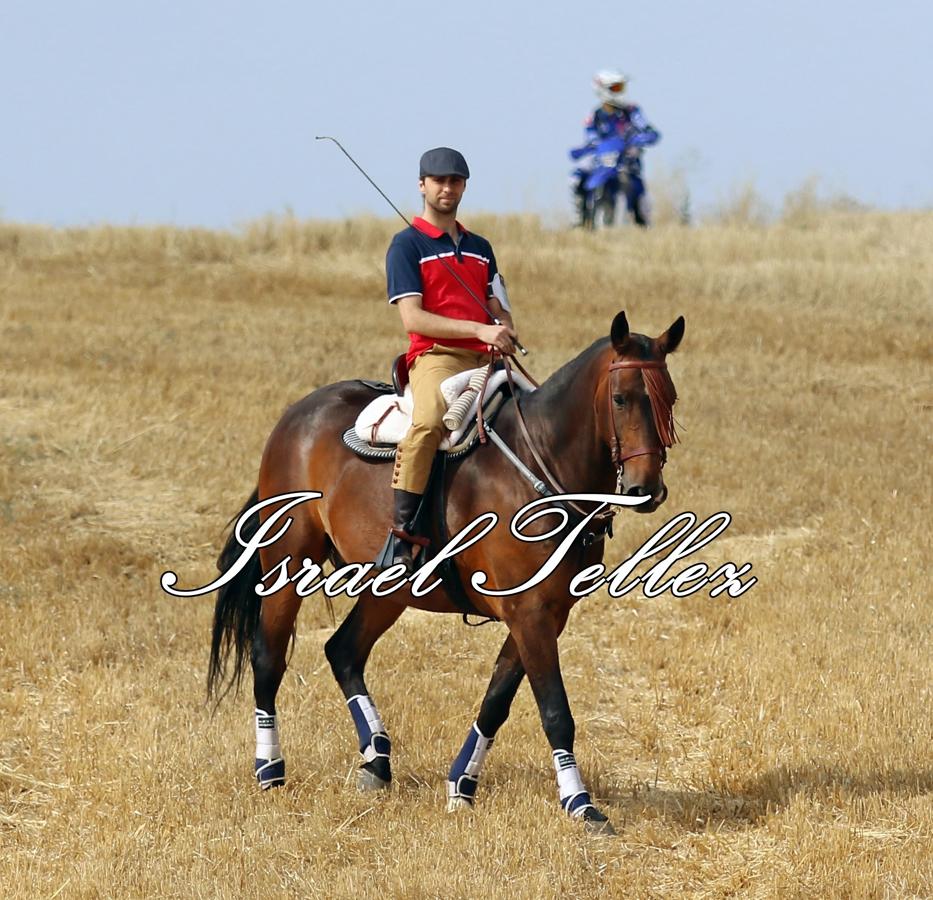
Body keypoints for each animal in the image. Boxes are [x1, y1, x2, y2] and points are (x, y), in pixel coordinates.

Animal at [208, 312, 680, 836]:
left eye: (670, 398)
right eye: (621, 398)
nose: (645, 489)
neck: (540, 467)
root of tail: (295, 416)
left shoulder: (545, 615)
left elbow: (496, 701)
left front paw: (462, 785)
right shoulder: (530, 613)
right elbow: (556, 711)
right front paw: (581, 804)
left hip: (387, 590)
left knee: (343, 651)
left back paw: (377, 761)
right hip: (288, 563)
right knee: (268, 655)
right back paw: (270, 769)